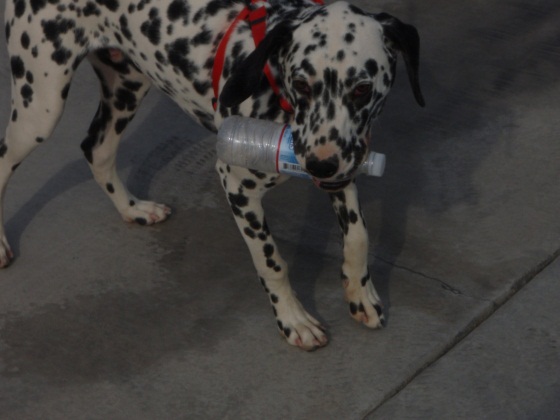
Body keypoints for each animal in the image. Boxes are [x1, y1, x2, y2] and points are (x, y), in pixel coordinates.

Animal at [0, 0, 422, 350]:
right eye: (302, 83)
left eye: (362, 88)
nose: (319, 165)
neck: (271, 81)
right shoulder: (237, 186)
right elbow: (272, 262)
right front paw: (293, 319)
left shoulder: (344, 165)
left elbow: (358, 236)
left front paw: (360, 294)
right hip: (41, 107)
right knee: (6, 158)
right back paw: (2, 246)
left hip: (126, 87)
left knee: (96, 150)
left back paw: (133, 209)